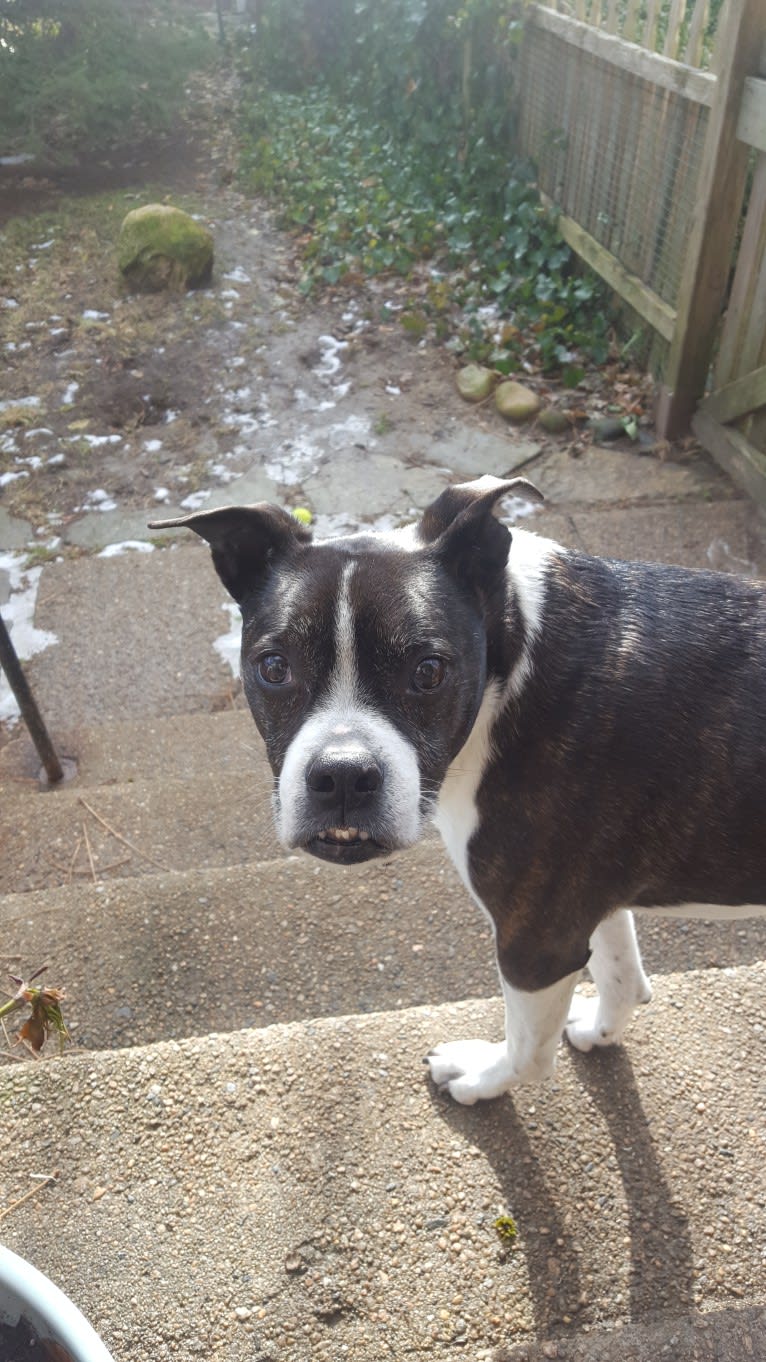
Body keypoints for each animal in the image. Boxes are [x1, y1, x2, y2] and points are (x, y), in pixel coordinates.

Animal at [150, 473, 763, 1100]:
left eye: (429, 671)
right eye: (273, 667)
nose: (342, 774)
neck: (511, 661)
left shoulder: (536, 942)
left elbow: (529, 1053)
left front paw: (482, 1079)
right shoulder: (590, 899)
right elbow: (622, 974)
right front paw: (599, 1031)